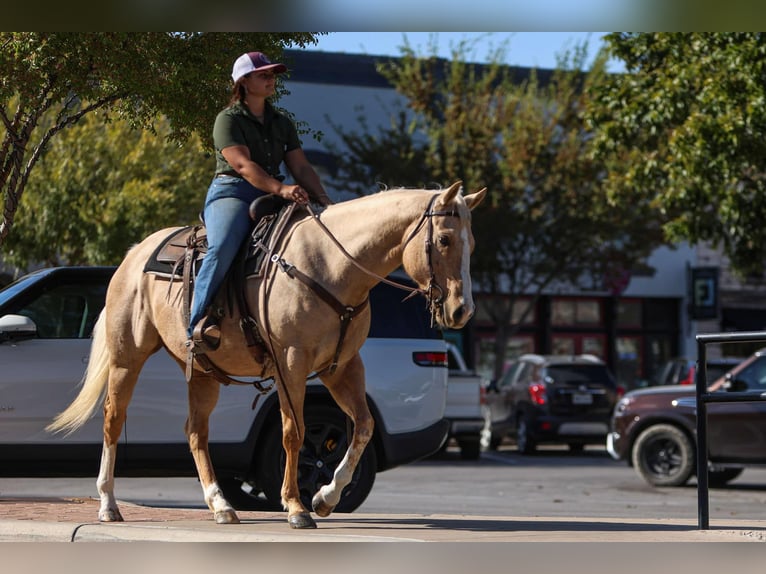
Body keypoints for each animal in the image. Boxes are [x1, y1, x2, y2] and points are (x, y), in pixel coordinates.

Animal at [47, 180, 486, 529]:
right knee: (112, 420)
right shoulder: (290, 362)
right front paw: (295, 506)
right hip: (127, 358)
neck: (330, 266)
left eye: (473, 244)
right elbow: (295, 432)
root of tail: (133, 253)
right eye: (444, 240)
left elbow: (362, 427)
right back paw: (108, 505)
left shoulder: (342, 367)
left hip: (202, 372)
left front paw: (324, 498)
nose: (461, 311)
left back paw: (220, 505)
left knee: (195, 431)